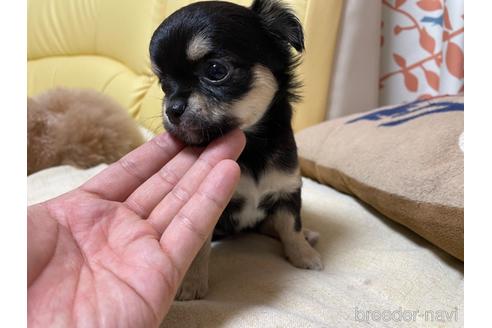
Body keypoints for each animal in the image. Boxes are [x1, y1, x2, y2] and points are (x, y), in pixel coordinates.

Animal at [150, 0, 322, 300]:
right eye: (164, 85)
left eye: (216, 71)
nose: (172, 109)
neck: (251, 147)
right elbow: (197, 248)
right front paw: (191, 284)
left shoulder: (287, 190)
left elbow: (291, 226)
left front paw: (303, 255)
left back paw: (308, 236)